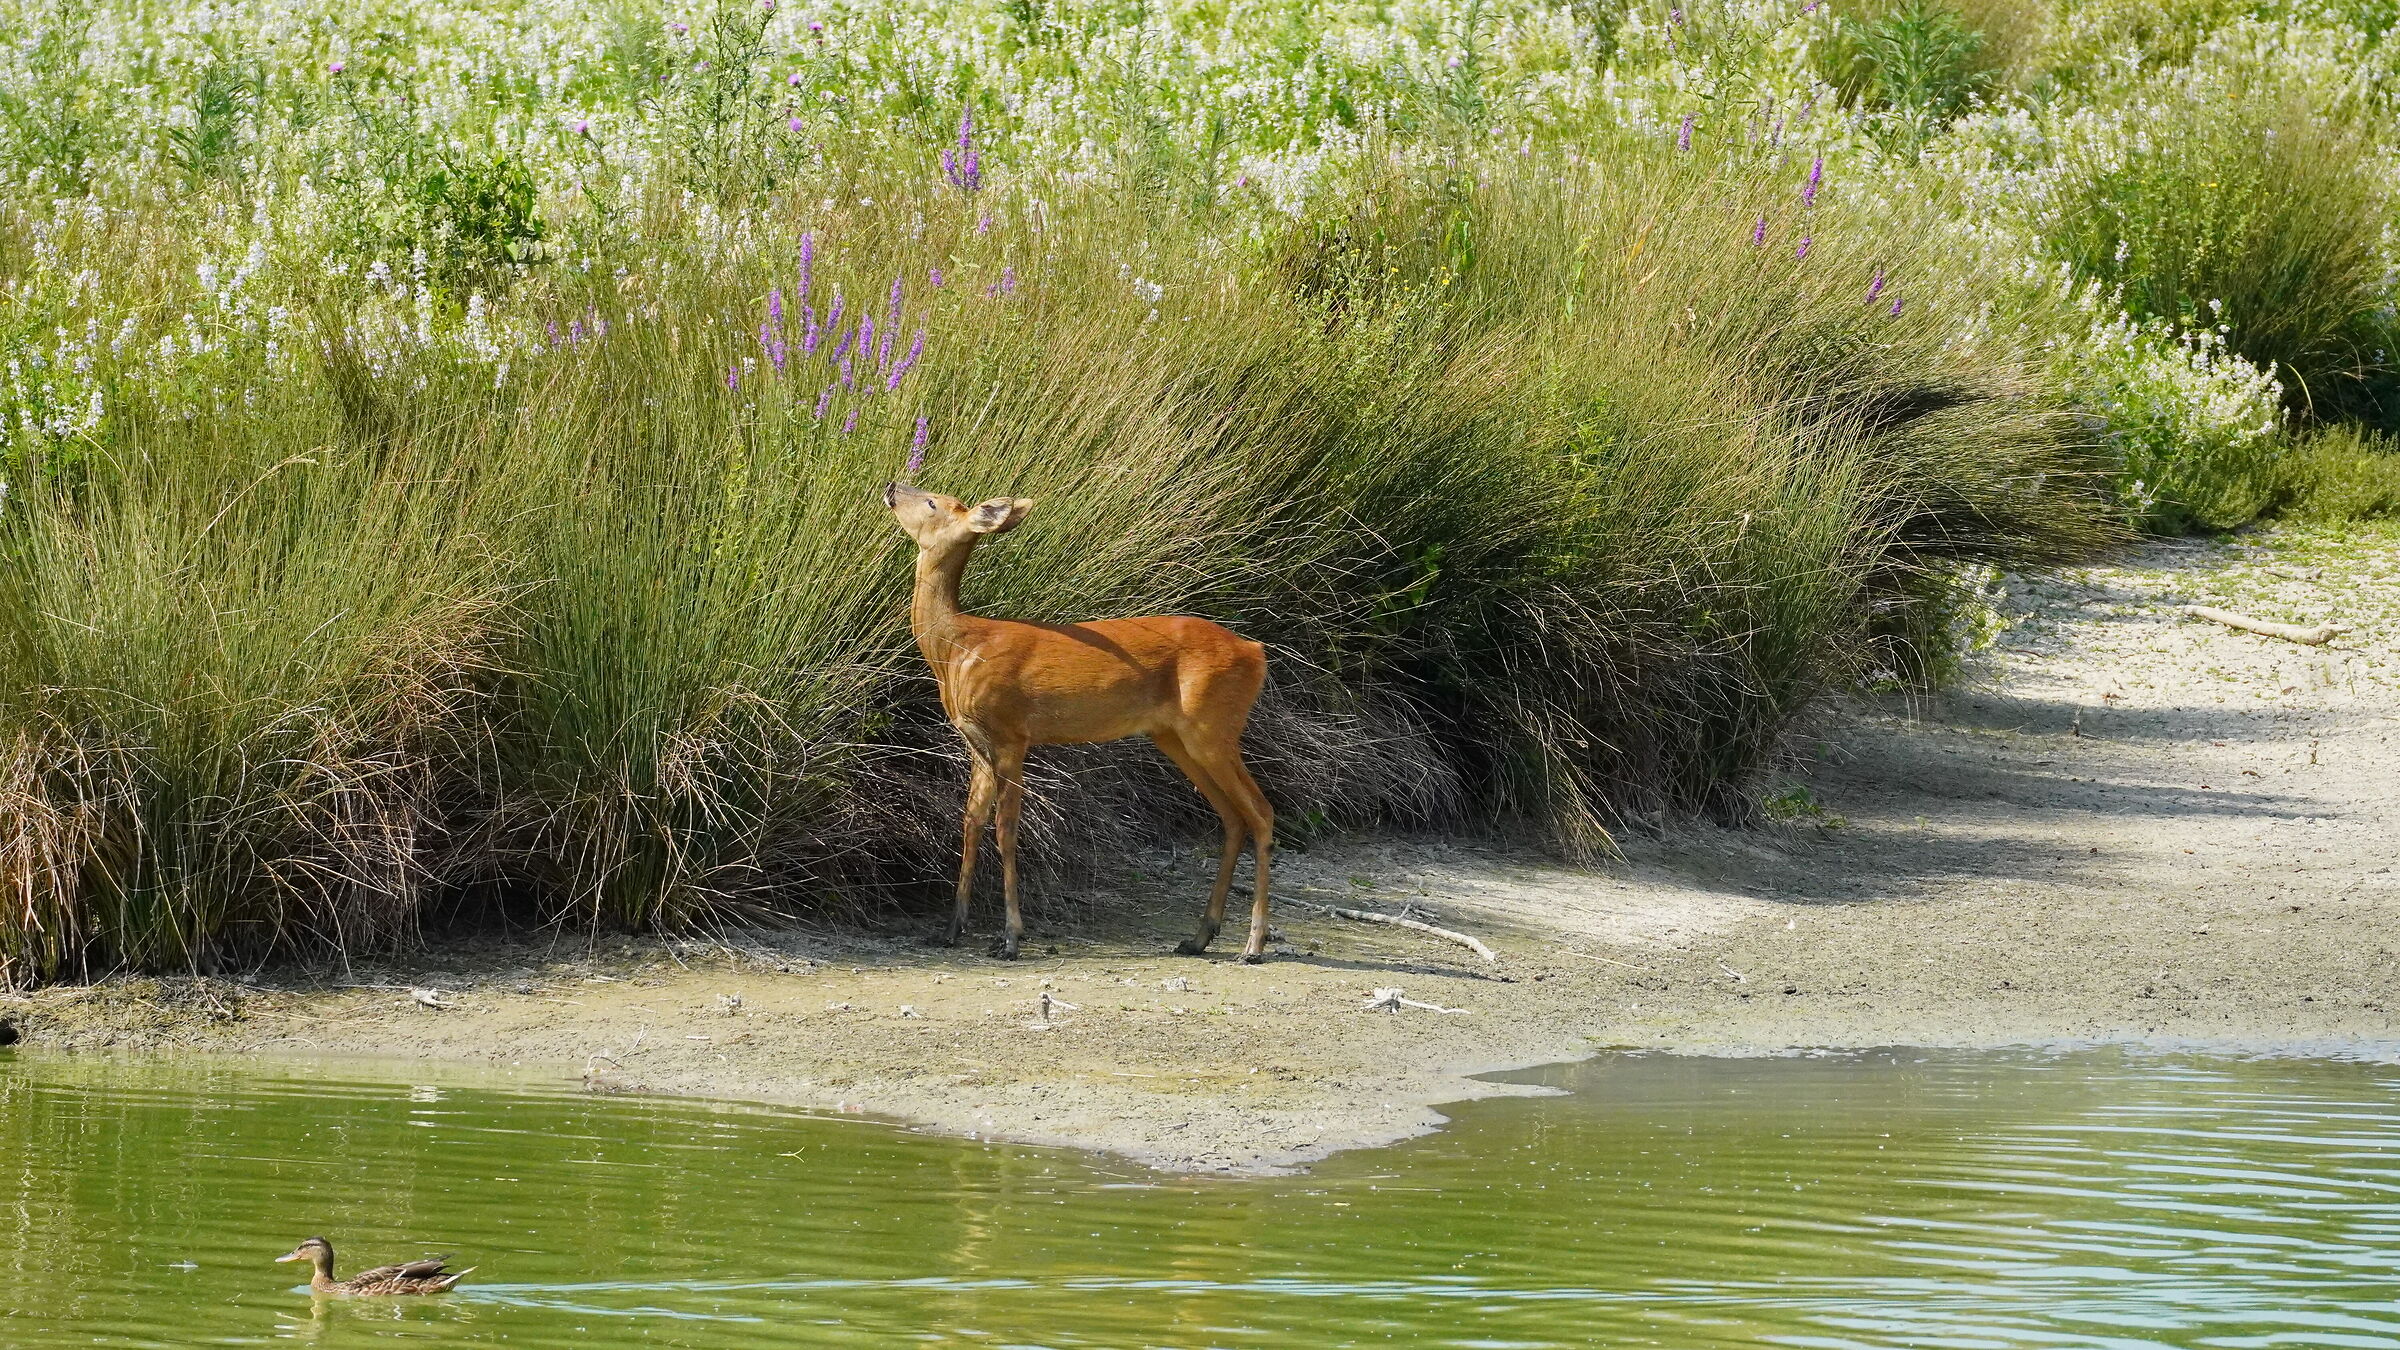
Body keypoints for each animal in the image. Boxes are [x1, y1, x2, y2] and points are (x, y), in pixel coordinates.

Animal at [882, 482, 1276, 962]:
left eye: (933, 501)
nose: (892, 487)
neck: (958, 648)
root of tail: (1256, 652)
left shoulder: (1012, 733)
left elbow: (1006, 829)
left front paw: (1011, 937)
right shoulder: (977, 741)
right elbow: (972, 822)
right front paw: (951, 928)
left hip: (1214, 726)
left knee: (1261, 812)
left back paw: (1254, 944)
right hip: (1176, 736)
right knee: (1233, 816)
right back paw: (1199, 937)